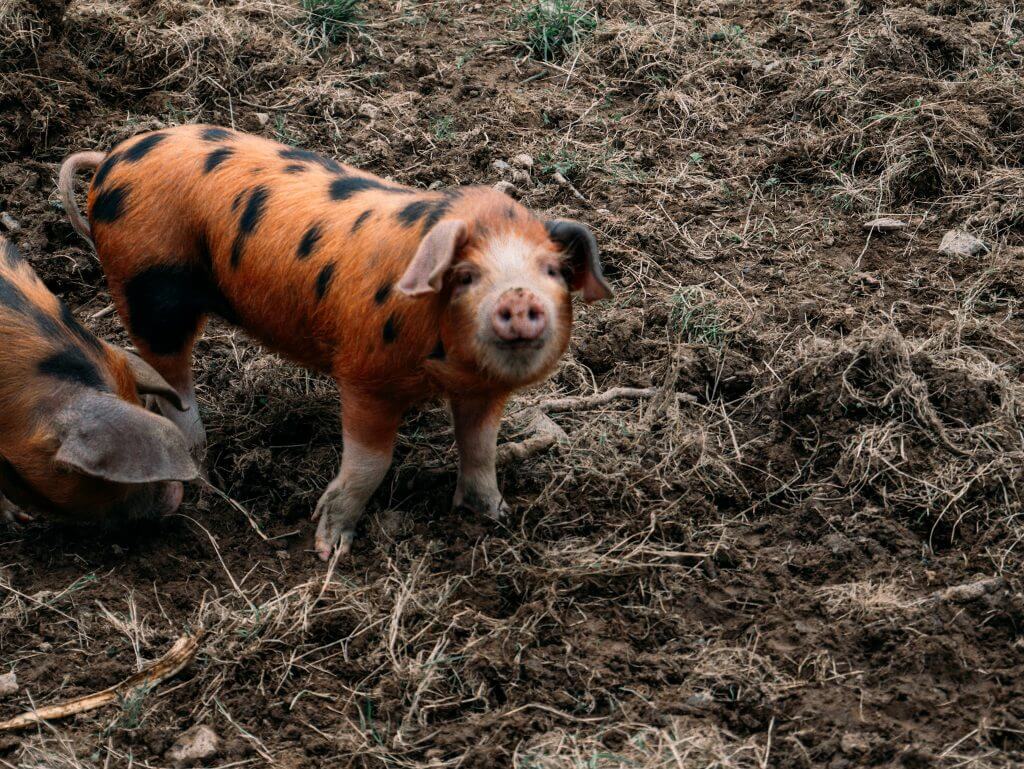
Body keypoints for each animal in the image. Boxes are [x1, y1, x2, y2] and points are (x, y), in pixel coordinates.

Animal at [58, 125, 612, 559]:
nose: (519, 296)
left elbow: (480, 449)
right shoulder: (366, 377)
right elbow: (371, 462)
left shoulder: (482, 392)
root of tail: (111, 159)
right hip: (148, 287)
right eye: (467, 275)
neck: (448, 370)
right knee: (175, 381)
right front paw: (329, 548)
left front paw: (496, 515)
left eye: (551, 271)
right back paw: (206, 479)